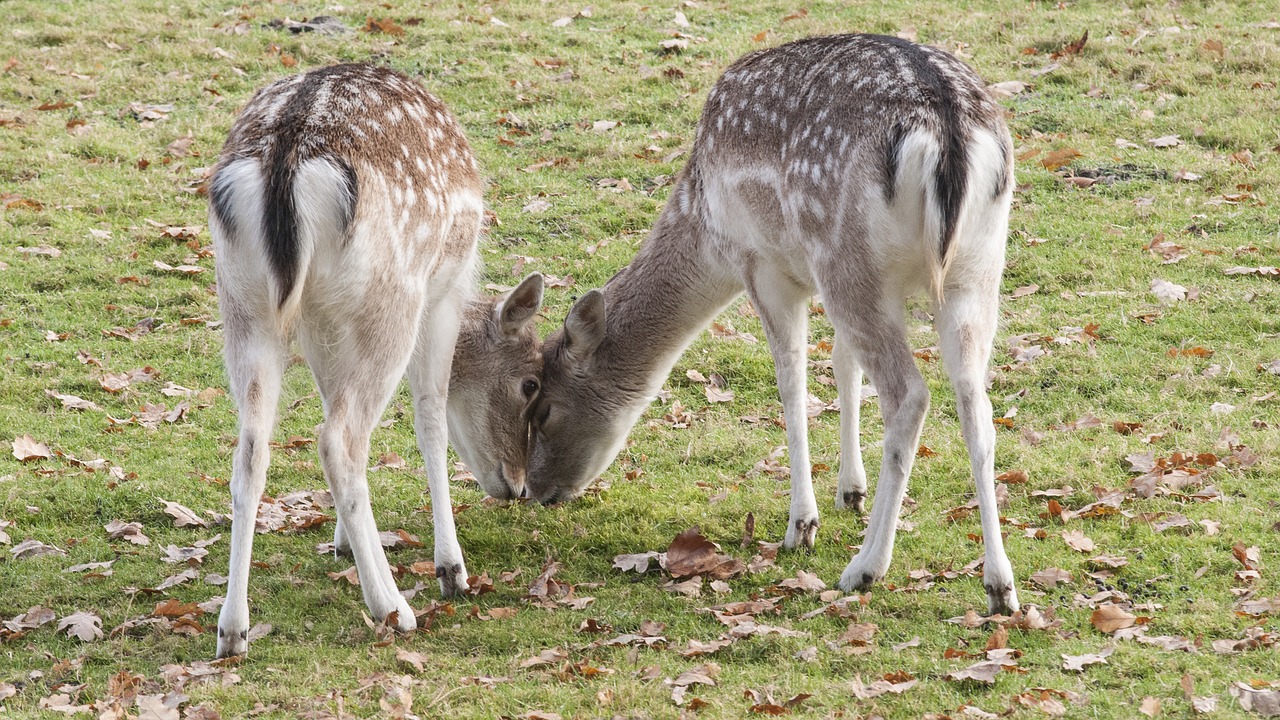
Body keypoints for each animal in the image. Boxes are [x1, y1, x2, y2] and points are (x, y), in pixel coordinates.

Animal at [208, 63, 545, 655]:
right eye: (530, 382)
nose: (519, 486)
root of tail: (286, 165)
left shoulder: (322, 324)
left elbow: (329, 397)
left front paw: (343, 540)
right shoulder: (441, 293)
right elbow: (431, 415)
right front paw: (451, 568)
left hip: (245, 303)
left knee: (252, 447)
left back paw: (232, 628)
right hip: (393, 298)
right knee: (338, 440)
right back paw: (393, 606)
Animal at [519, 33, 1018, 614]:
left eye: (545, 408)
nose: (535, 490)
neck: (704, 224)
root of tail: (946, 130)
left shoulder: (764, 266)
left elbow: (792, 381)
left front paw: (801, 526)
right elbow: (841, 363)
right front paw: (850, 491)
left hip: (847, 255)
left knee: (910, 394)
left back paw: (866, 568)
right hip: (974, 271)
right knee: (976, 403)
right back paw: (1000, 586)